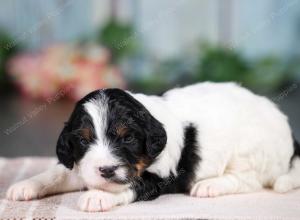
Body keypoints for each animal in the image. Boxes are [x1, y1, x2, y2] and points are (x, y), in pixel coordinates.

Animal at [5, 82, 300, 211]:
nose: (107, 170)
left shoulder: (159, 176)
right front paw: (25, 185)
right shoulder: (82, 164)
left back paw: (210, 185)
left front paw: (98, 196)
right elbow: (58, 173)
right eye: (83, 140)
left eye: (128, 139)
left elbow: (129, 185)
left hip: (249, 152)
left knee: (248, 180)